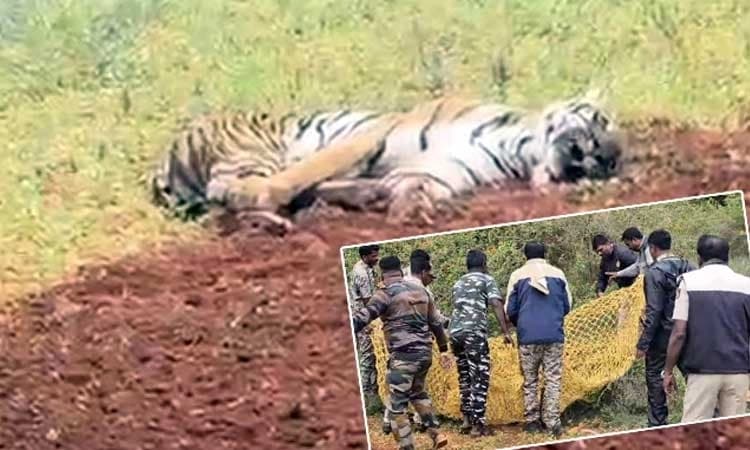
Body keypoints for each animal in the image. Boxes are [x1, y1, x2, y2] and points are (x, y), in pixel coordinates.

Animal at [150, 92, 623, 231]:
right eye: (599, 120)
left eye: (606, 167)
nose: (605, 154)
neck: (520, 148)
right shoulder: (372, 134)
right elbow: (305, 171)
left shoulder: (440, 169)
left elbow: (416, 183)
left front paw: (410, 209)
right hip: (252, 151)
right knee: (229, 192)